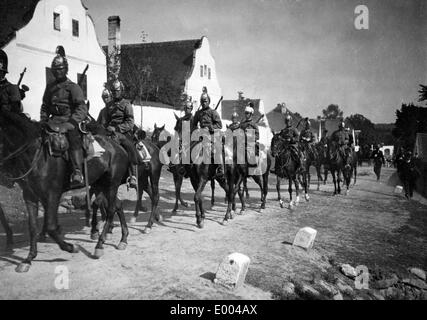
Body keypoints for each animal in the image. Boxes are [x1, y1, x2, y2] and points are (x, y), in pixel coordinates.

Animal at [0, 110, 130, 272]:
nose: (5, 179)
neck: (36, 155)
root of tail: (119, 147)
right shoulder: (29, 196)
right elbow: (32, 227)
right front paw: (28, 259)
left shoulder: (52, 194)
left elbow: (51, 226)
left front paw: (71, 247)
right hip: (101, 185)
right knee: (118, 205)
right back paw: (123, 239)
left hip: (112, 184)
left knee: (112, 210)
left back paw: (99, 245)